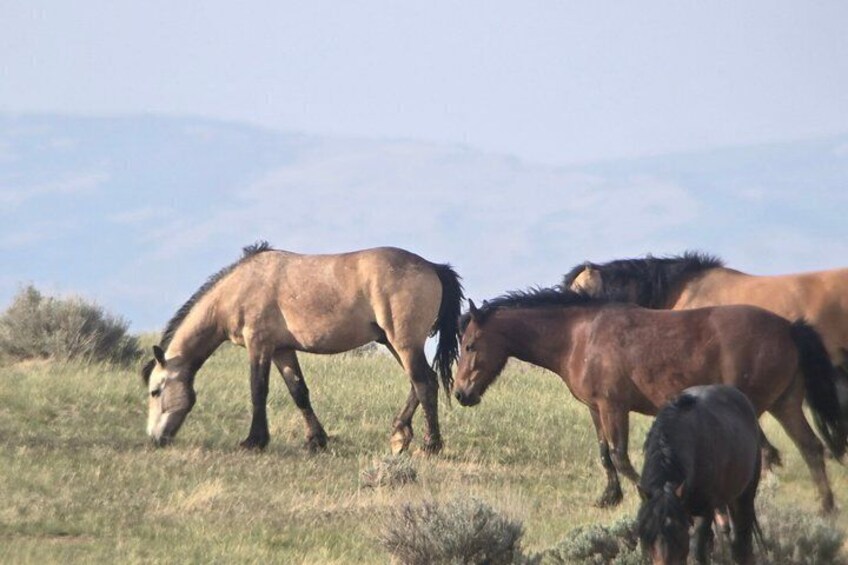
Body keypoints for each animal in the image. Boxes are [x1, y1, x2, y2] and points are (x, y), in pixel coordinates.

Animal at [142, 242, 464, 454]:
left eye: (155, 391)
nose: (155, 439)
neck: (240, 287)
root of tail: (433, 267)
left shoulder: (259, 345)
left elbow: (258, 390)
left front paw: (254, 440)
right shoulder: (282, 350)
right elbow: (299, 392)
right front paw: (316, 440)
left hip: (404, 342)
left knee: (424, 383)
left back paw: (430, 444)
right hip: (394, 342)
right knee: (420, 383)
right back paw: (399, 435)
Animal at [451, 288, 845, 513]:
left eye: (469, 345)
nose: (460, 394)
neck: (579, 335)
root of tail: (788, 328)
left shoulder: (614, 407)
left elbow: (621, 456)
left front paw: (648, 494)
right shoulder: (596, 409)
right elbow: (605, 455)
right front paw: (608, 498)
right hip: (785, 404)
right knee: (811, 448)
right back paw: (825, 507)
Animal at [637, 385, 762, 565]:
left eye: (678, 532)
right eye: (646, 534)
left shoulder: (704, 511)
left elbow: (698, 550)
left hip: (744, 494)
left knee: (742, 542)